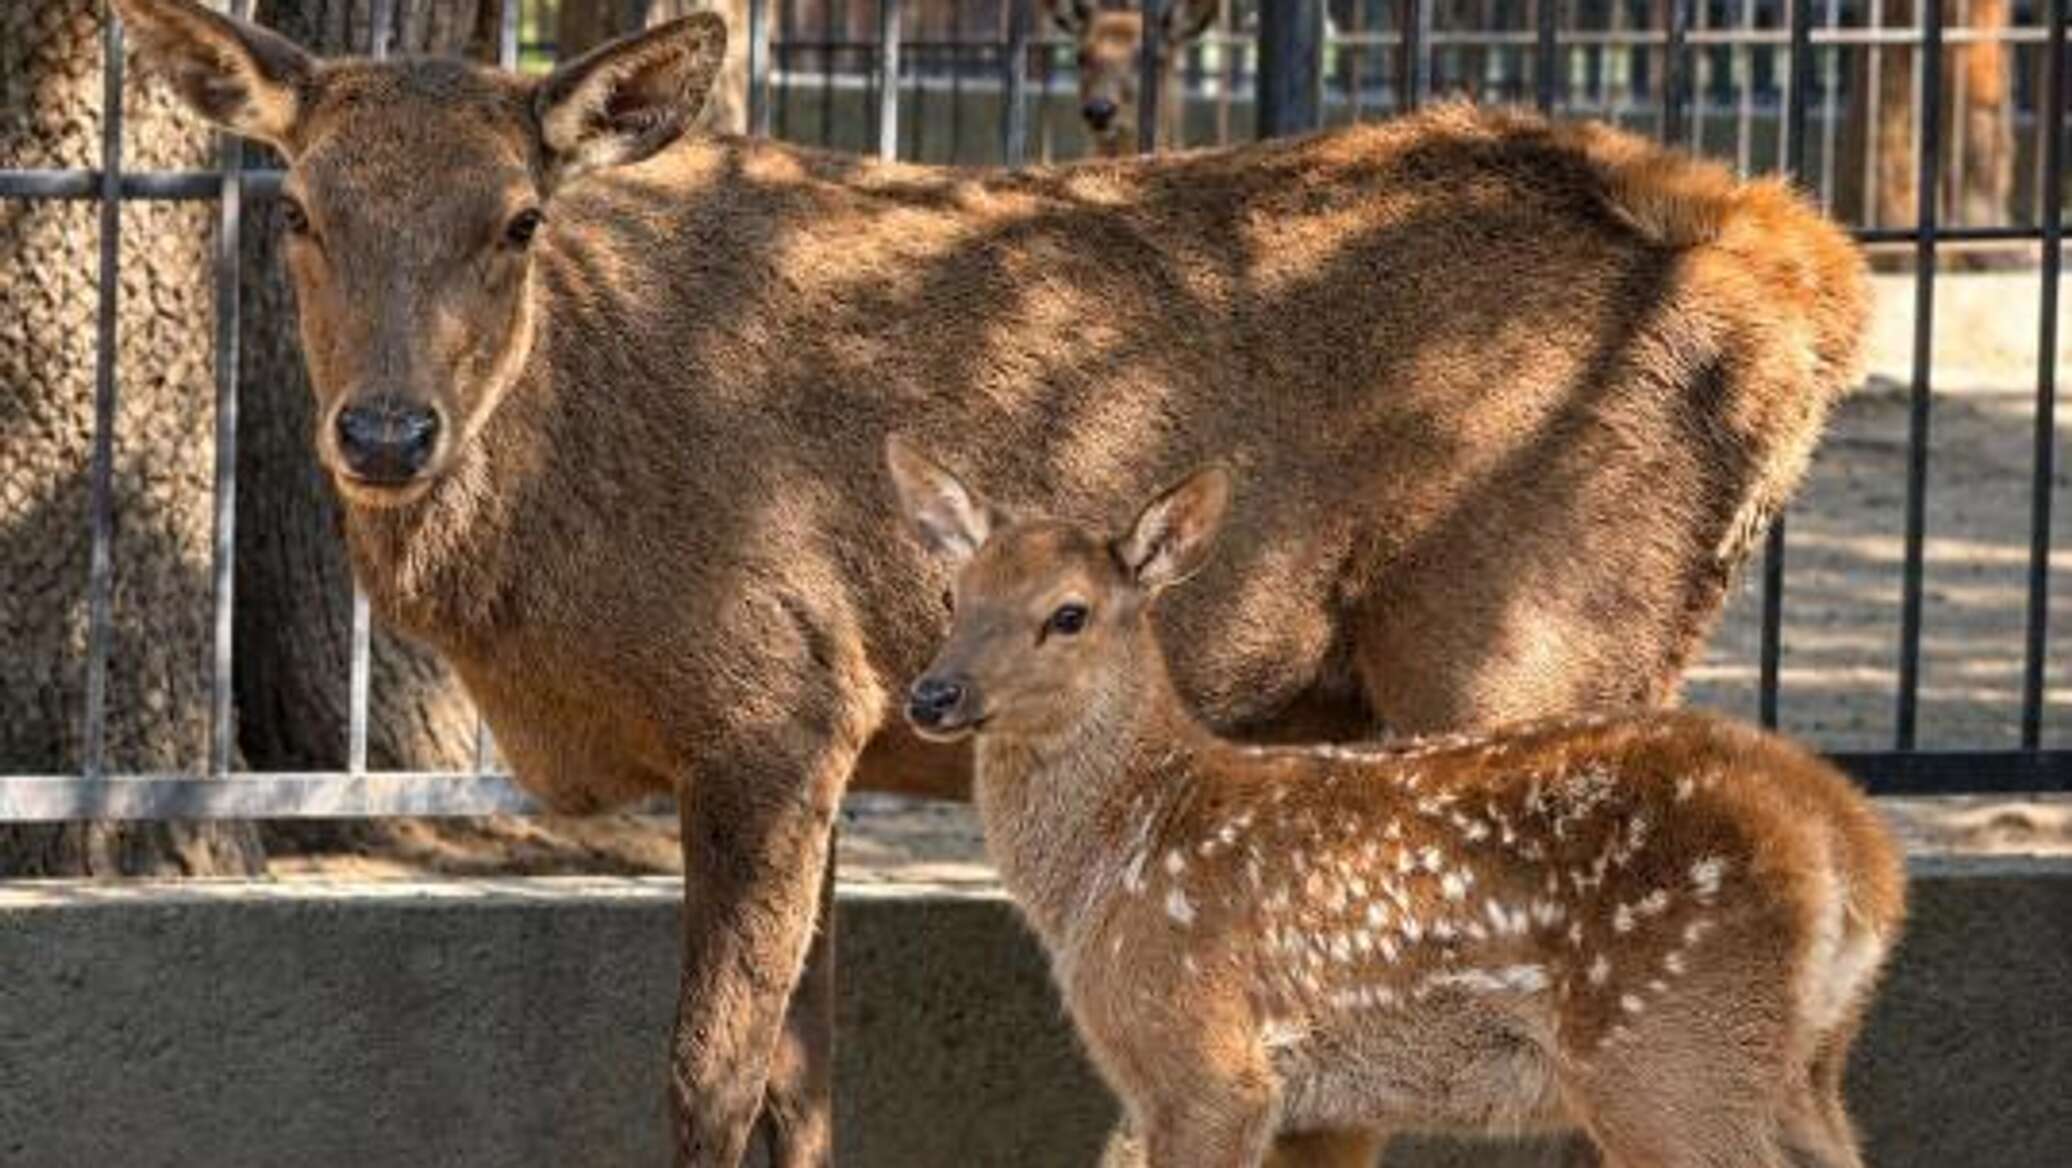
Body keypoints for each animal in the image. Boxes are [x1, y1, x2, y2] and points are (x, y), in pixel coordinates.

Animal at [889, 441, 1908, 1168]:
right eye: (954, 595)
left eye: (1069, 614)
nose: (933, 696)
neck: (1121, 852)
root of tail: (1852, 849)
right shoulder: (1316, 1108)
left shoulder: (1206, 1061)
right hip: (1805, 1069)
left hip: (1672, 1050)